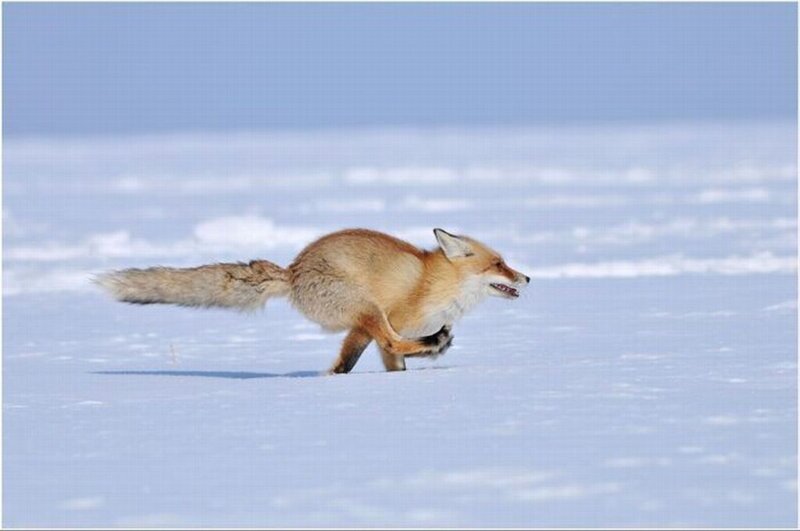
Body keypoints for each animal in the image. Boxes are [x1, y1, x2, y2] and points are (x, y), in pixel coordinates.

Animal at [96, 228, 530, 374]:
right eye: (499, 264)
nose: (527, 277)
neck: (436, 283)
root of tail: (293, 271)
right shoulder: (383, 320)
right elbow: (394, 346)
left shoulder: (360, 332)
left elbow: (366, 363)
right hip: (366, 307)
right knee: (394, 339)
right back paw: (436, 343)